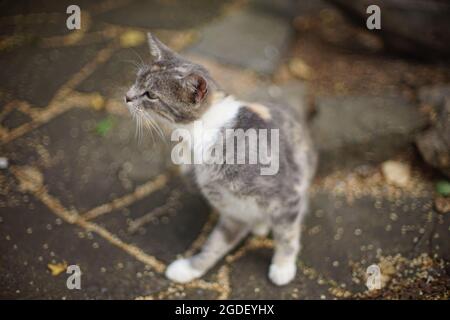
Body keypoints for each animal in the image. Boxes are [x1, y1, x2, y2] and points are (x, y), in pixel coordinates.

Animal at [125, 33, 318, 286]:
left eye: (150, 95)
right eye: (137, 80)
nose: (126, 97)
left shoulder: (286, 194)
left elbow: (287, 233)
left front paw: (283, 267)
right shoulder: (232, 211)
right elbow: (215, 245)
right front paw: (190, 269)